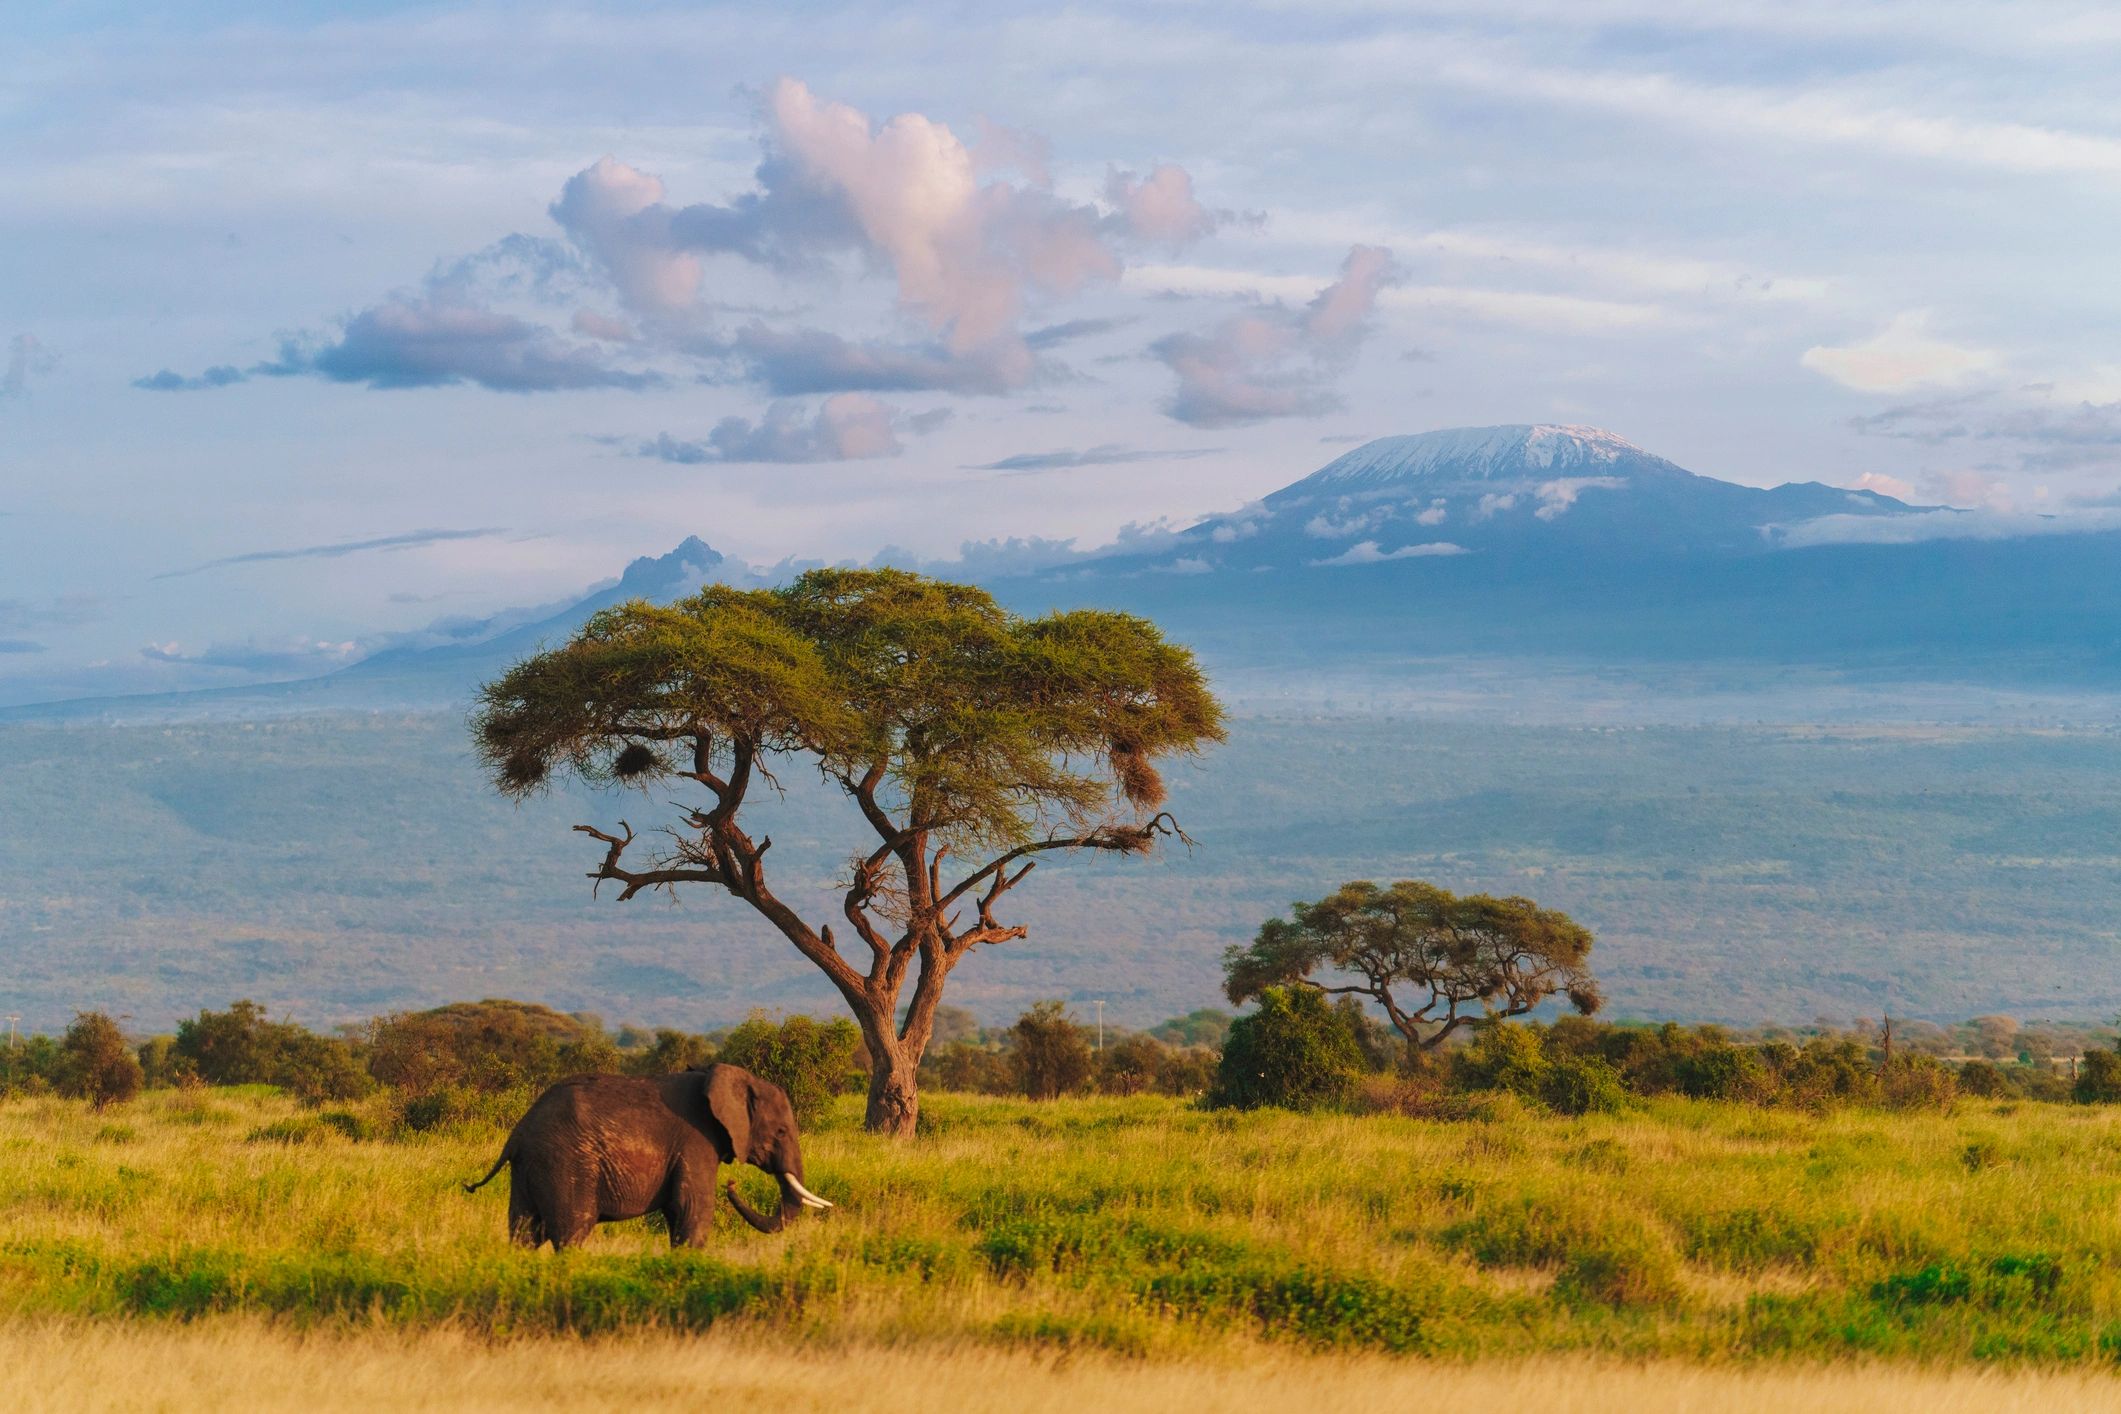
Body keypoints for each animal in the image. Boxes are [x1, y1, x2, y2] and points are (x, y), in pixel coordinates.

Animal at [463, 1063, 832, 1249]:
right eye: (781, 1132)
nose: (731, 1184)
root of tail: (518, 1134)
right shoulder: (696, 1140)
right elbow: (693, 1210)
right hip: (564, 1164)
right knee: (572, 1232)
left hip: (529, 1169)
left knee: (524, 1234)